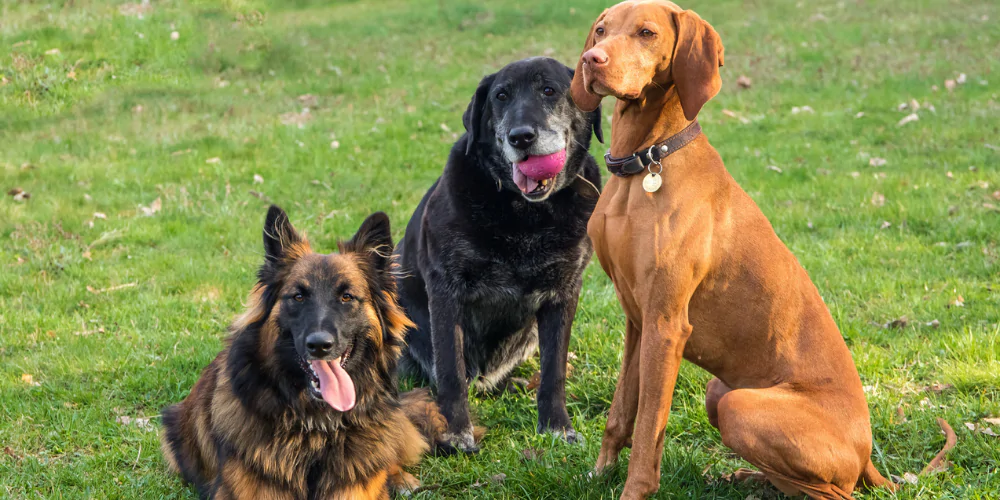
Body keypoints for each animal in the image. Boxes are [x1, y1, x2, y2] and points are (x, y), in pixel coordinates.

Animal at [394, 58, 600, 454]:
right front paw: (456, 432)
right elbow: (451, 371)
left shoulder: (564, 292)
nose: (521, 136)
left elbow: (554, 371)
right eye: (501, 96)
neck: (524, 213)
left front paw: (556, 427)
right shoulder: (446, 290)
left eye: (549, 90)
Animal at [572, 0, 952, 500]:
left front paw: (632, 490)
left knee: (839, 492)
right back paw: (745, 477)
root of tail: (868, 453)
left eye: (647, 33)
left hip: (740, 406)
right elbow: (620, 415)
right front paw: (598, 474)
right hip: (718, 391)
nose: (591, 60)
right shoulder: (638, 320)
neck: (646, 163)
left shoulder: (666, 325)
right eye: (600, 30)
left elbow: (649, 428)